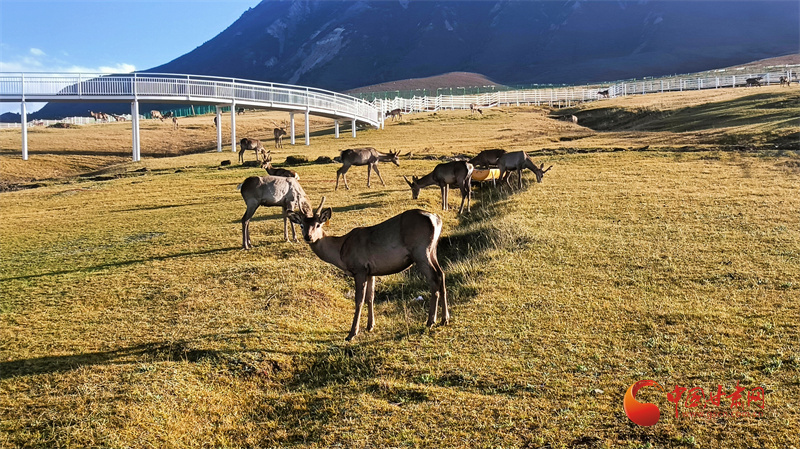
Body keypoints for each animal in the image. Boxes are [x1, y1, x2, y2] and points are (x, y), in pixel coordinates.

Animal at [288, 197, 449, 341]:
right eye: (301, 225)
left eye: (318, 225)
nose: (308, 237)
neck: (341, 251)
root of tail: (436, 219)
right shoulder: (371, 272)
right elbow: (370, 297)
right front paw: (370, 325)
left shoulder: (359, 268)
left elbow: (359, 300)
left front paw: (352, 333)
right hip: (432, 250)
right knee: (441, 274)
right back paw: (444, 319)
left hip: (420, 251)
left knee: (434, 278)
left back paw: (430, 321)